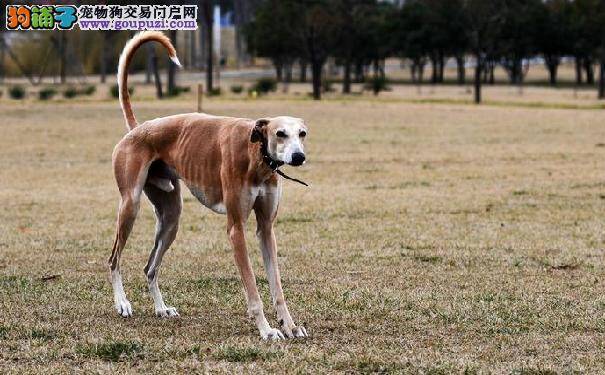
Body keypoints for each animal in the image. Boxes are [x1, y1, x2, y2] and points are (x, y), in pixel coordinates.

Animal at [106, 32, 310, 340]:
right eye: (280, 133)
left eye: (302, 134)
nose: (299, 157)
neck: (257, 156)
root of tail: (138, 129)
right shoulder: (236, 229)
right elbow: (253, 289)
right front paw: (266, 330)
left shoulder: (266, 229)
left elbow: (277, 286)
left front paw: (290, 325)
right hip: (130, 205)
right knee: (114, 259)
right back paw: (122, 303)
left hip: (171, 218)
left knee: (150, 267)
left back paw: (161, 308)